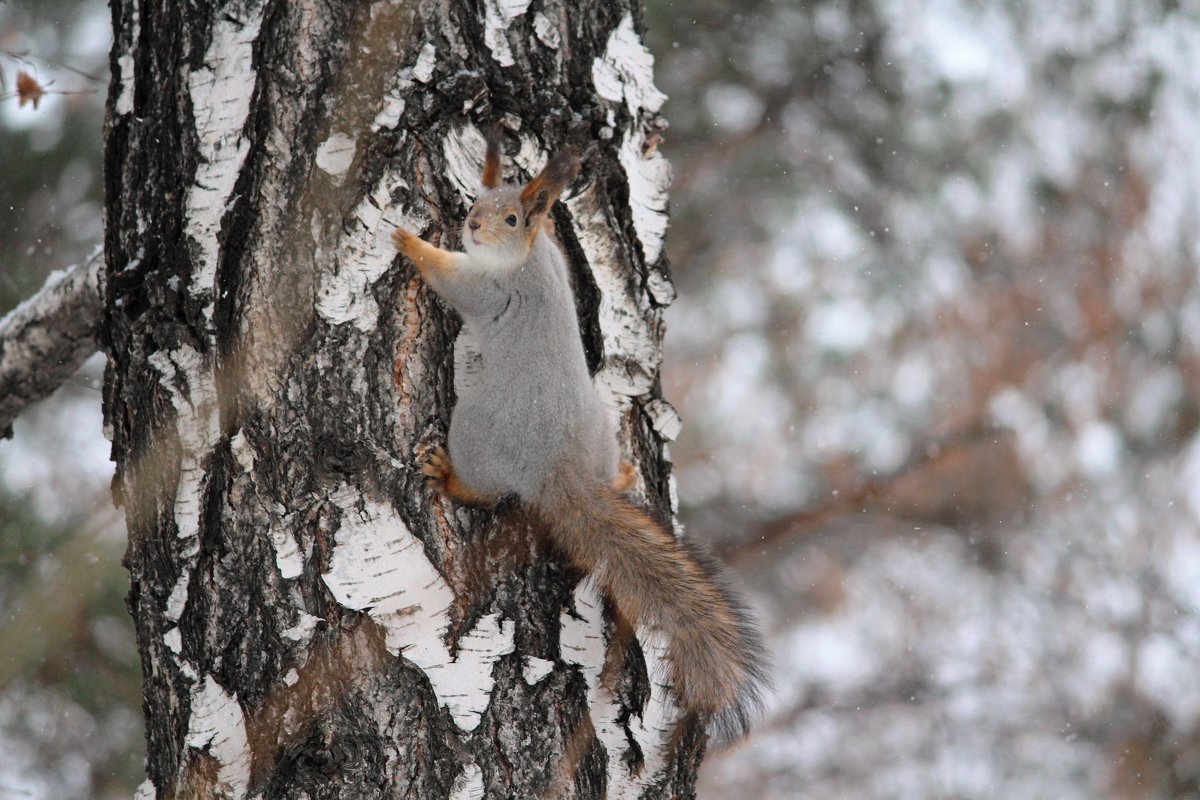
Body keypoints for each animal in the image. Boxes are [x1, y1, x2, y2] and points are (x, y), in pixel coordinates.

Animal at [393, 126, 768, 743]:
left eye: (512, 217)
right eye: (479, 203)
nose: (471, 226)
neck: (526, 257)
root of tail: (561, 472)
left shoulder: (490, 288)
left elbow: (450, 281)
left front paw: (406, 239)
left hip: (474, 427)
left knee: (485, 489)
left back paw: (447, 476)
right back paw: (620, 472)